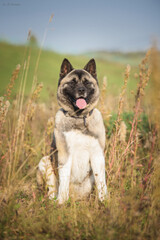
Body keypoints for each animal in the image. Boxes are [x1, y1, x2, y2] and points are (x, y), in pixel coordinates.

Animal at [37, 58, 107, 204]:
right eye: (72, 82)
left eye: (86, 82)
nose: (81, 90)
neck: (79, 118)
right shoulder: (65, 155)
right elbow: (63, 182)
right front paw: (61, 203)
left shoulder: (97, 155)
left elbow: (101, 182)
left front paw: (105, 201)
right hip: (45, 161)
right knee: (52, 191)